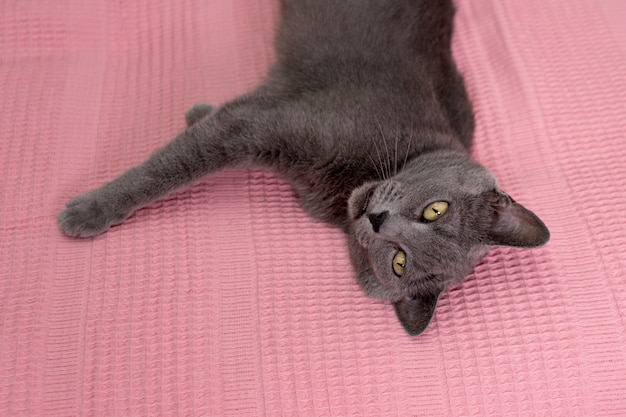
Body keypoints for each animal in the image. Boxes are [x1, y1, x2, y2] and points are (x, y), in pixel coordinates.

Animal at [58, 0, 544, 334]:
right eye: (435, 210)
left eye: (399, 263)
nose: (378, 220)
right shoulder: (260, 122)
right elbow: (168, 167)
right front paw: (87, 212)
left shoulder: (258, 123)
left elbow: (190, 149)